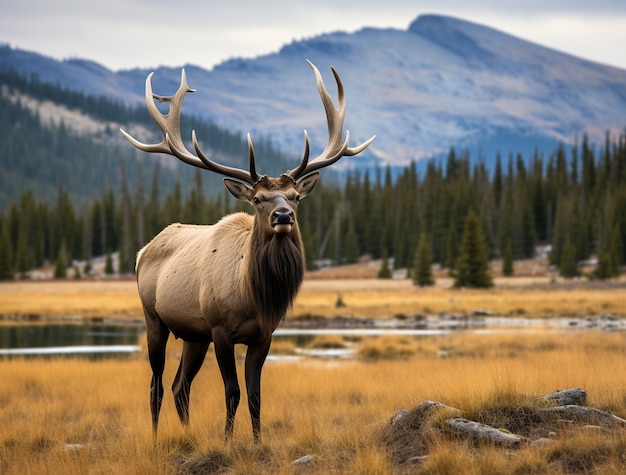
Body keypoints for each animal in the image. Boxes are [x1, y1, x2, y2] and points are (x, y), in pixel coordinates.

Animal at [120, 60, 372, 442]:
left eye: (295, 197)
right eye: (257, 199)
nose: (283, 216)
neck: (252, 296)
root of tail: (141, 251)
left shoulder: (263, 335)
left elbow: (255, 394)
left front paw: (256, 441)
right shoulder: (221, 330)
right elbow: (232, 391)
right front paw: (226, 441)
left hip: (193, 334)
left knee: (181, 386)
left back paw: (188, 434)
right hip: (155, 319)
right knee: (157, 384)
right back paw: (154, 435)